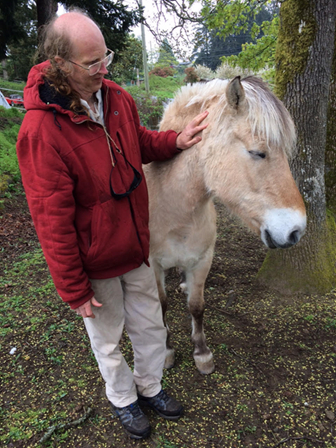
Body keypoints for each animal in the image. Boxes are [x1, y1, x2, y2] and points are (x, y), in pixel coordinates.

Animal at [143, 77, 306, 374]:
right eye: (258, 152)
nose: (295, 231)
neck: (172, 209)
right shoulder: (152, 267)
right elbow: (160, 305)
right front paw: (166, 351)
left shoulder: (202, 260)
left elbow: (197, 306)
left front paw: (202, 353)